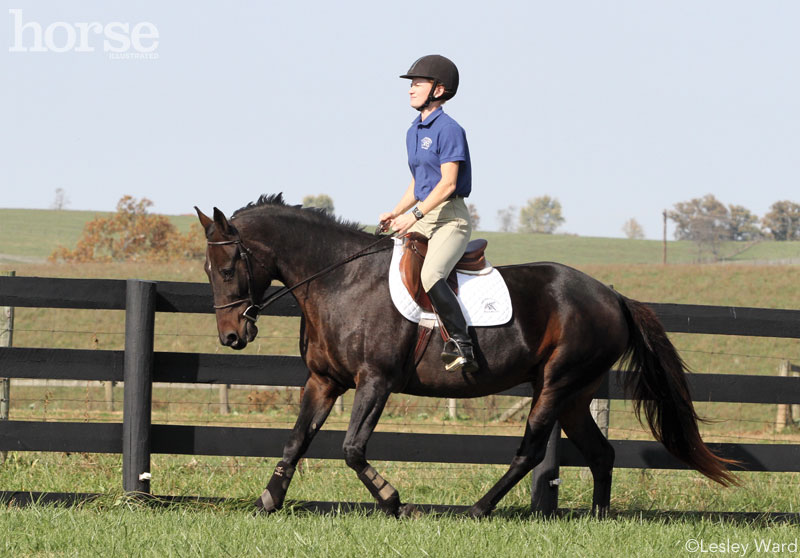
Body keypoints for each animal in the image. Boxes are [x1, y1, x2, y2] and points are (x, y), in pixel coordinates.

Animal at [195, 196, 736, 520]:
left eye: (228, 266)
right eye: (207, 268)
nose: (231, 335)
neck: (339, 280)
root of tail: (613, 296)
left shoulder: (375, 381)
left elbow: (351, 449)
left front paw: (394, 502)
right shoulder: (323, 381)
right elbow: (295, 441)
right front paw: (267, 502)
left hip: (556, 384)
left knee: (531, 452)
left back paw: (479, 509)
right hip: (575, 395)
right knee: (600, 452)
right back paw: (598, 519)